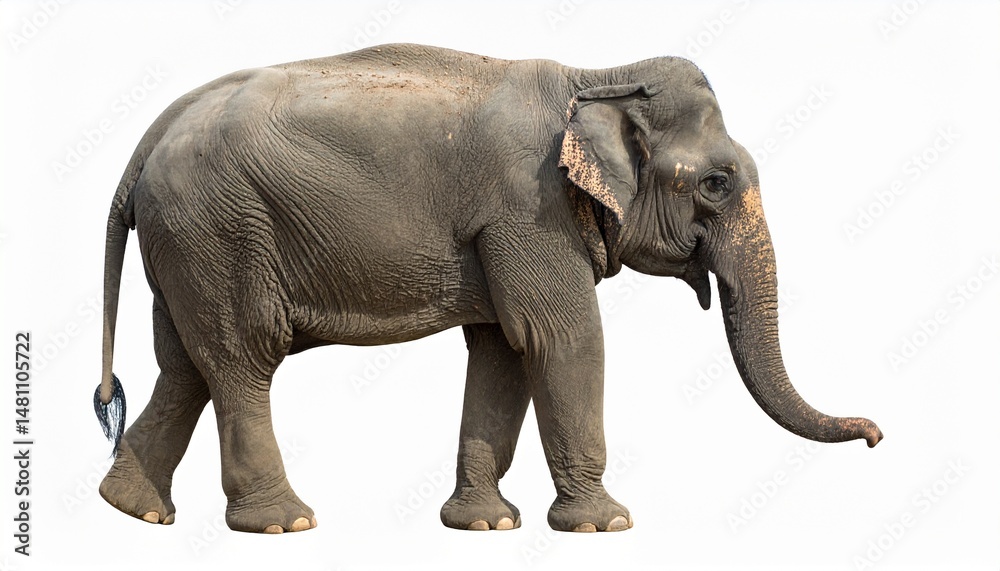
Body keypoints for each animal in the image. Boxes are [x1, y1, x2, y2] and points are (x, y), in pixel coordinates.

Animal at [94, 43, 882, 534]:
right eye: (716, 182)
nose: (876, 434)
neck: (598, 73)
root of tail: (147, 139)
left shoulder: (507, 229)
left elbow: (503, 349)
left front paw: (485, 522)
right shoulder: (527, 210)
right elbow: (563, 337)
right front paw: (605, 524)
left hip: (188, 241)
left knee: (185, 363)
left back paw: (134, 510)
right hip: (220, 227)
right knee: (242, 356)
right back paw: (284, 523)